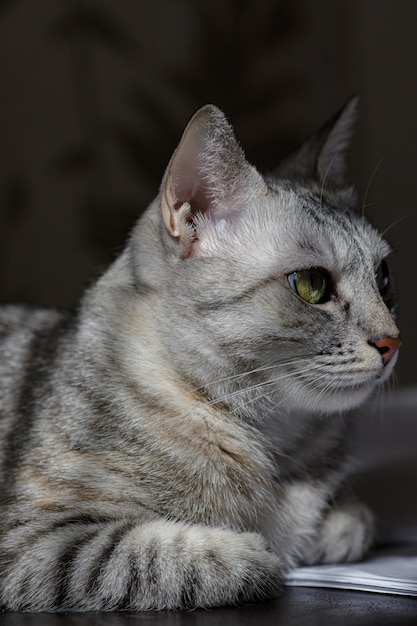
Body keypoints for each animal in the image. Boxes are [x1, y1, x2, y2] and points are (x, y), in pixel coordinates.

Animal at [0, 101, 400, 608]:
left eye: (383, 277)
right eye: (312, 285)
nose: (393, 341)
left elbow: (352, 523)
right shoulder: (32, 539)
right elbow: (155, 554)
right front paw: (258, 551)